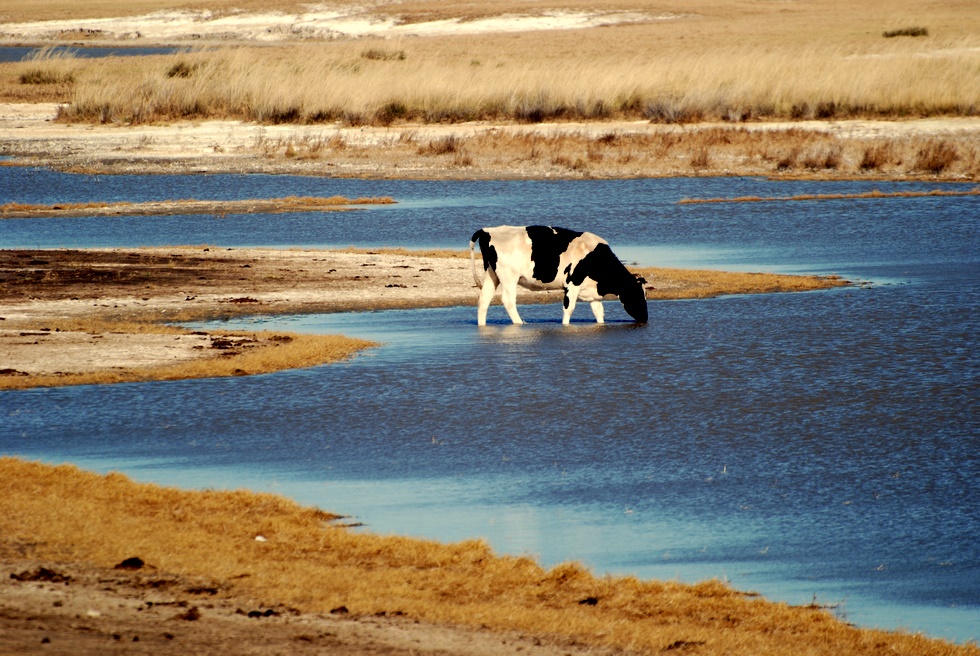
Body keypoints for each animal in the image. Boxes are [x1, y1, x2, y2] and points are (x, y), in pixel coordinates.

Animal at [468, 227, 648, 326]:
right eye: (637, 294)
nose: (645, 318)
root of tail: (488, 230)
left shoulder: (592, 291)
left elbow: (599, 312)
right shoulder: (573, 283)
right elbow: (569, 308)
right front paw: (565, 326)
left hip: (492, 274)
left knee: (484, 300)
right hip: (509, 276)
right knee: (508, 301)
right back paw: (520, 323)